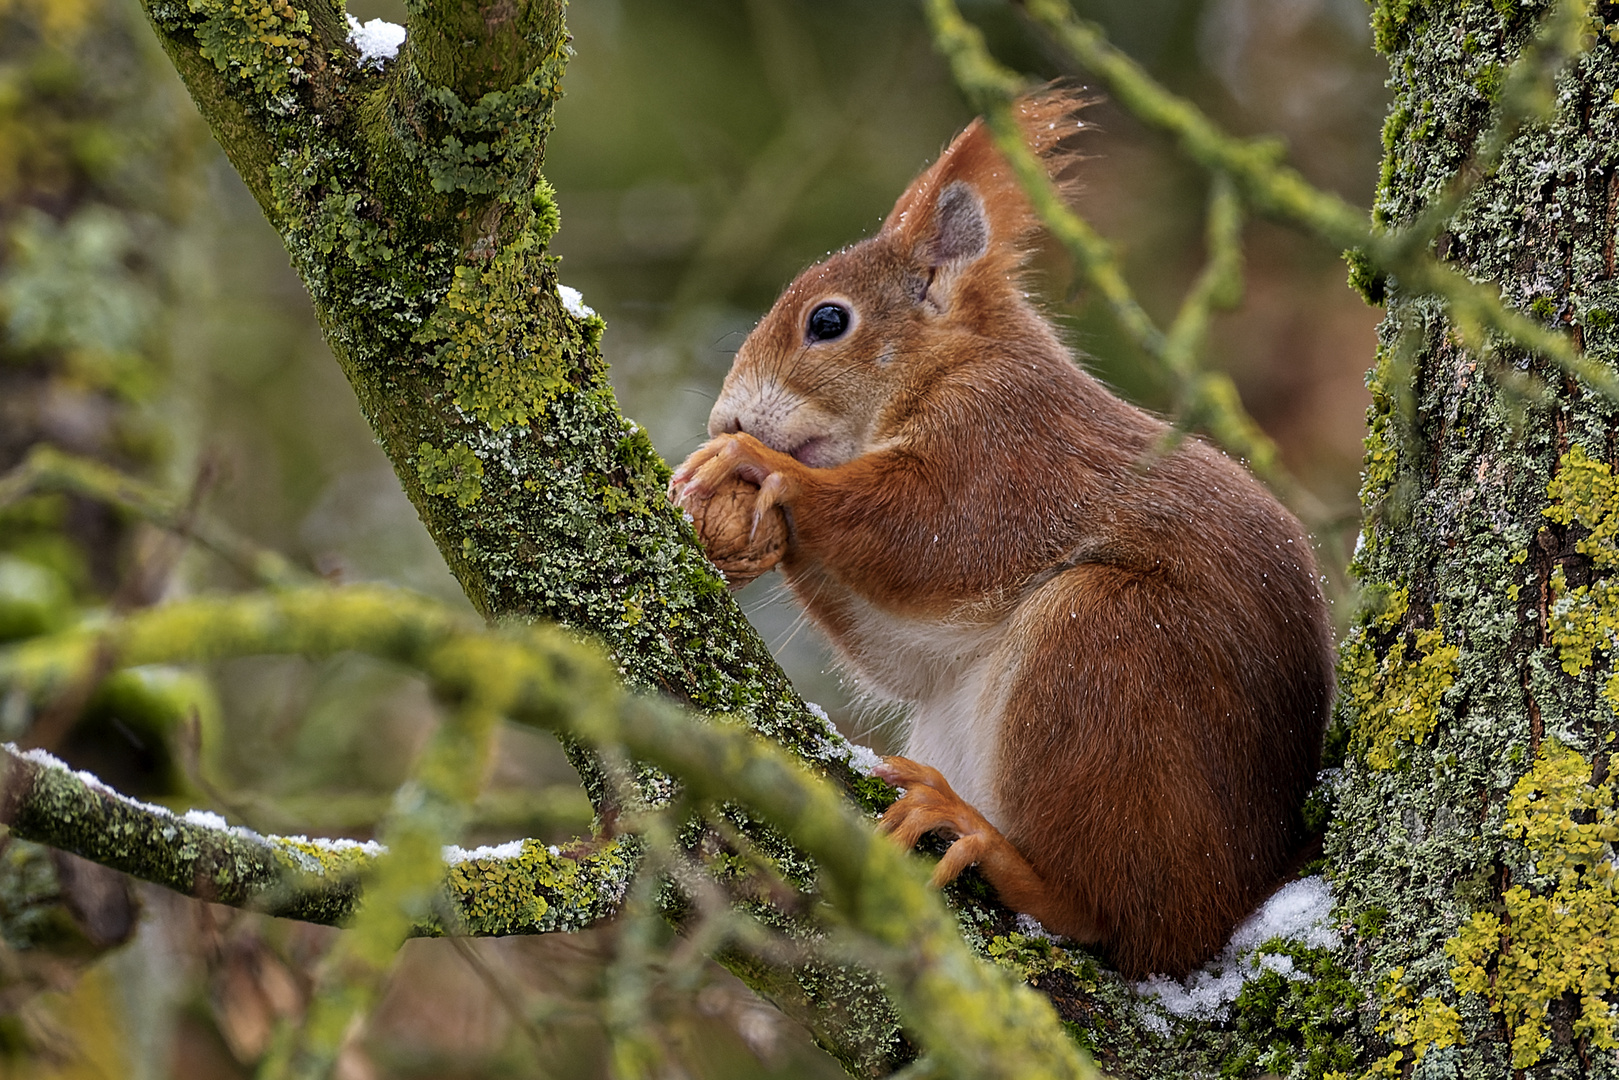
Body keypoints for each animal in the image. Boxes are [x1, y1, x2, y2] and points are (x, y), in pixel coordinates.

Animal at [663, 90, 1334, 977]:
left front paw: (752, 464)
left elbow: (930, 534)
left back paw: (982, 841)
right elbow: (905, 654)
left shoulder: (1003, 449)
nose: (725, 417)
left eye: (828, 321)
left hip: (1106, 649)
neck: (952, 365)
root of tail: (1231, 903)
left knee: (1121, 922)